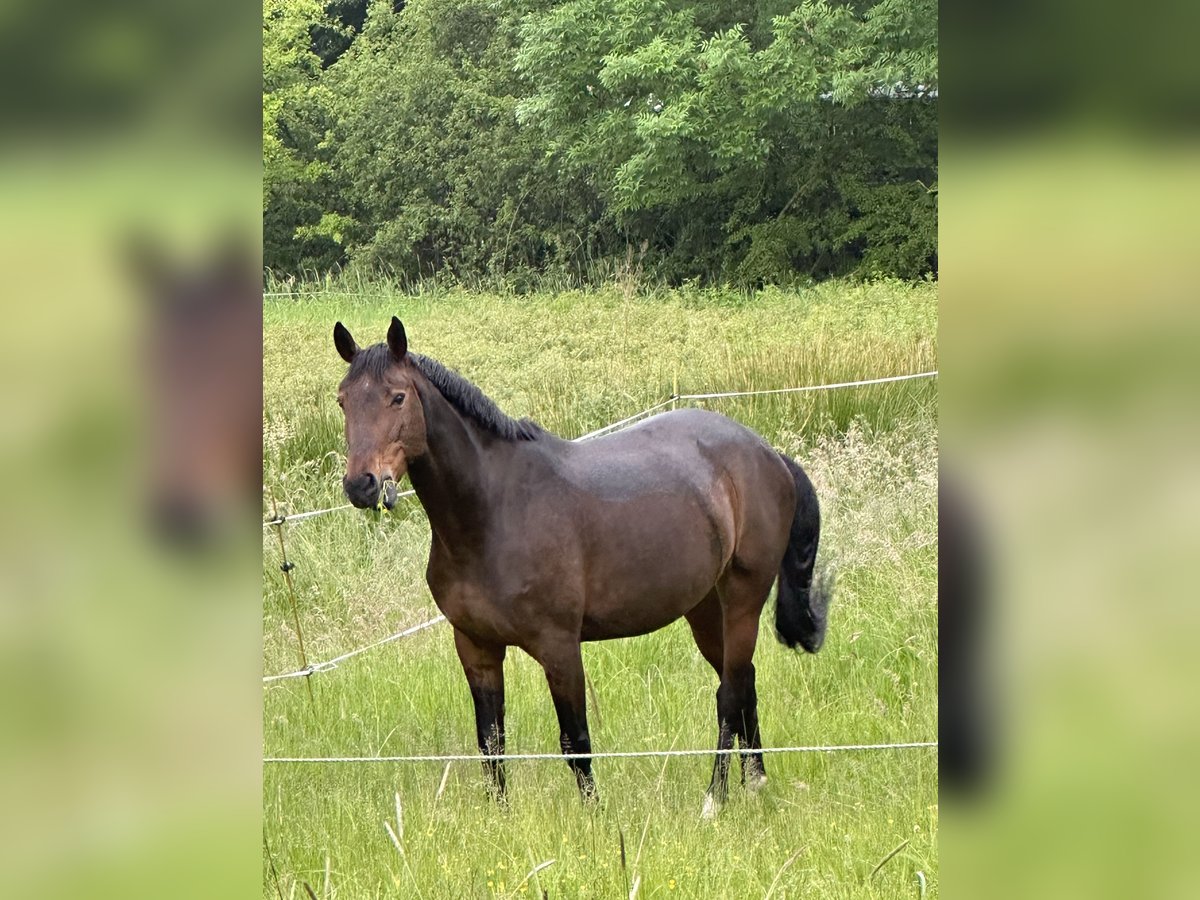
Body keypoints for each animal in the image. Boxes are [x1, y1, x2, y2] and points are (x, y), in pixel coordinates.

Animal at [333, 319, 830, 816]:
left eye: (397, 397)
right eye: (343, 400)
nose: (361, 484)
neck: (493, 510)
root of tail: (767, 453)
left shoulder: (559, 646)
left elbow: (575, 741)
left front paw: (595, 817)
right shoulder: (476, 647)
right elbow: (491, 742)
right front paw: (500, 818)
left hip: (743, 599)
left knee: (729, 693)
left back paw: (715, 799)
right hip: (706, 609)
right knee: (743, 683)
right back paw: (756, 782)